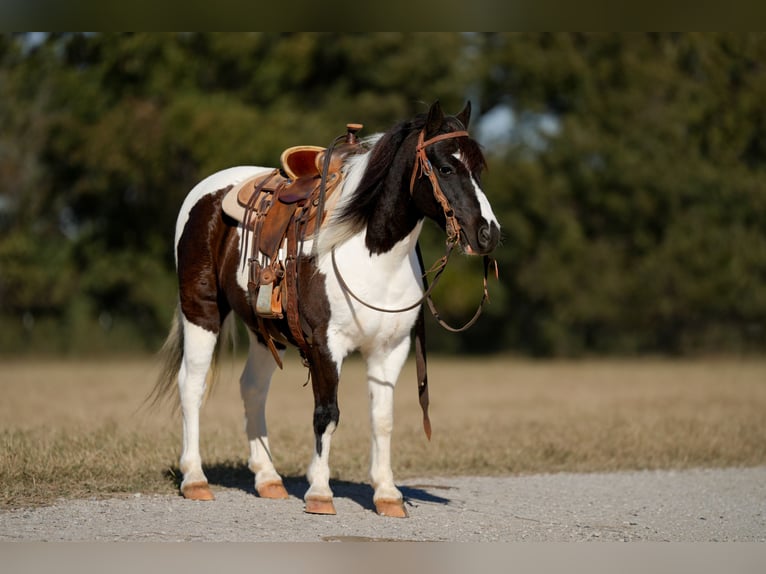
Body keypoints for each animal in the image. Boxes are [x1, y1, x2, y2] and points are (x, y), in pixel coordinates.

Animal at [151, 100, 500, 518]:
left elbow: (382, 420)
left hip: (263, 331)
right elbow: (327, 414)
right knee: (192, 384)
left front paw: (387, 494)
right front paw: (319, 492)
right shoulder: (325, 345)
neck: (371, 253)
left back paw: (268, 479)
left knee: (252, 388)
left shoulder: (390, 350)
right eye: (446, 167)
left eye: (478, 169)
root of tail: (207, 190)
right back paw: (195, 479)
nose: (488, 234)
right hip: (201, 309)